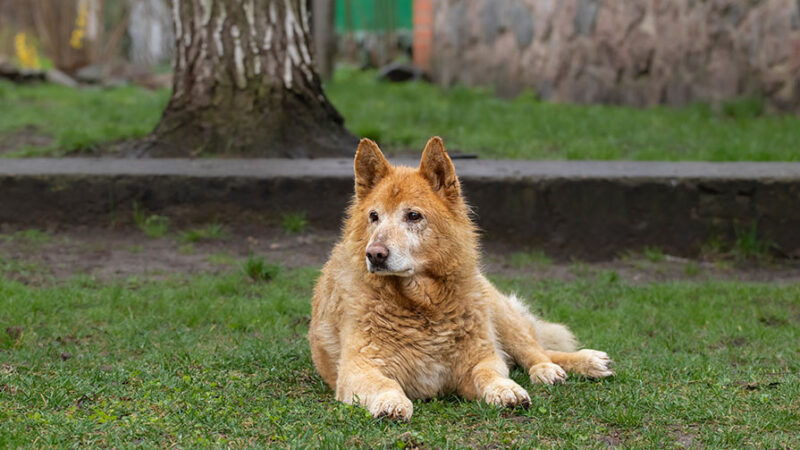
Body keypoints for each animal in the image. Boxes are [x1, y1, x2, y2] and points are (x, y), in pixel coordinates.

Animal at [306, 138, 612, 422]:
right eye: (374, 216)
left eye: (413, 215)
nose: (374, 254)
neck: (422, 305)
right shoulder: (357, 369)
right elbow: (384, 383)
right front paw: (390, 402)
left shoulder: (481, 359)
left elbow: (490, 373)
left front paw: (505, 389)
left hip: (498, 313)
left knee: (535, 350)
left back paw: (569, 365)